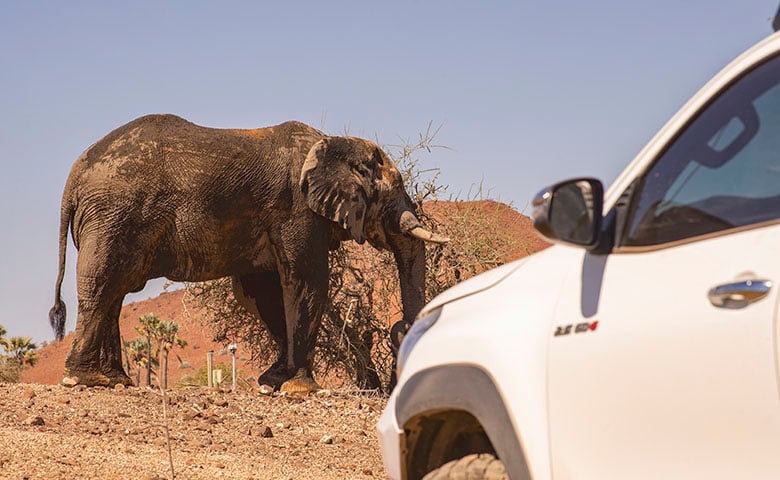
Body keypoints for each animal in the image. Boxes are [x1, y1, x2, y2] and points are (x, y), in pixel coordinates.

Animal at [48, 114, 448, 392]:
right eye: (395, 189)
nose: (400, 328)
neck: (333, 142)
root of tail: (74, 177)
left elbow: (263, 292)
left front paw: (272, 382)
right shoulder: (297, 207)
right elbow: (306, 281)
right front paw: (301, 389)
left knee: (114, 291)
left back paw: (115, 380)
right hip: (113, 214)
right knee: (102, 284)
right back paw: (87, 380)